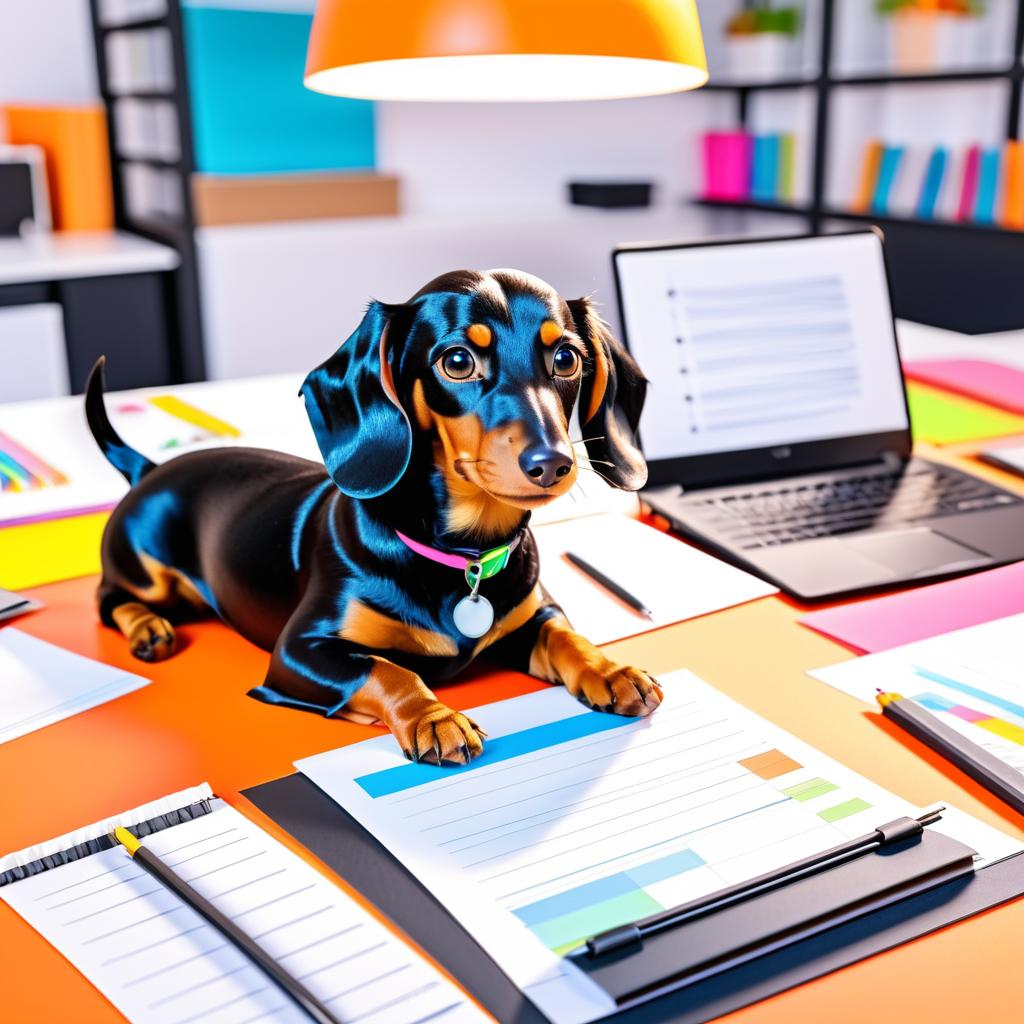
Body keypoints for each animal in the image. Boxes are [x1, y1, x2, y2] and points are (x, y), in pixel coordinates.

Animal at [86, 268, 663, 765]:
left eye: (566, 357)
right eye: (457, 362)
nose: (553, 464)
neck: (464, 557)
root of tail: (148, 467)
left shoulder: (534, 615)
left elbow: (565, 635)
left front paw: (609, 668)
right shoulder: (299, 652)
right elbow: (389, 670)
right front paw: (434, 718)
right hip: (145, 570)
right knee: (110, 598)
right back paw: (148, 627)